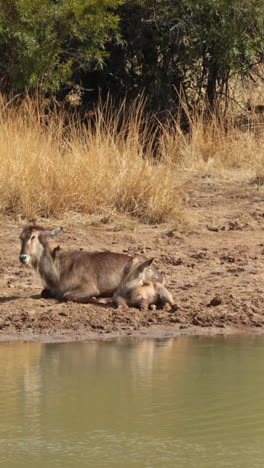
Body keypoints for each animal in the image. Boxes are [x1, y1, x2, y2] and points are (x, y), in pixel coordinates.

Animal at [18, 223, 162, 304]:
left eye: (33, 236)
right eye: (21, 237)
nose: (22, 257)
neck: (58, 269)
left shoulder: (89, 288)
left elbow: (67, 295)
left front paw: (94, 298)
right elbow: (44, 292)